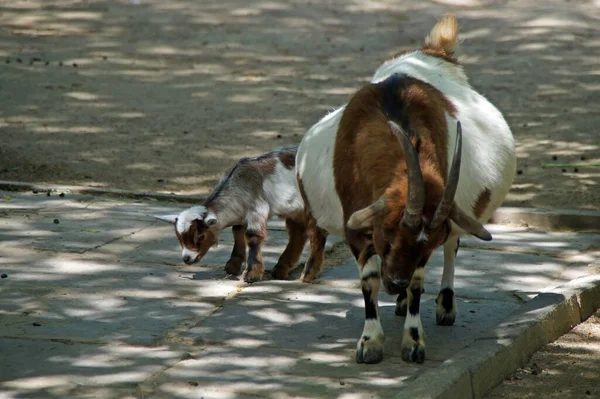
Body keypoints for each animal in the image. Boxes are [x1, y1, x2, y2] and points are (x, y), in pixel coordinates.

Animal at [172, 148, 304, 284]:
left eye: (201, 236)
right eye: (179, 237)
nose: (186, 258)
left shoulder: (257, 209)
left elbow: (252, 236)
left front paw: (252, 274)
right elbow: (237, 231)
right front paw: (233, 265)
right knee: (299, 231)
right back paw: (282, 269)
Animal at [296, 14, 516, 366]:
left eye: (426, 243)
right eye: (387, 233)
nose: (395, 281)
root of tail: (435, 50)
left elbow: (418, 282)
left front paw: (413, 341)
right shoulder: (357, 231)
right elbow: (369, 281)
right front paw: (370, 342)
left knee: (453, 247)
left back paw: (445, 305)